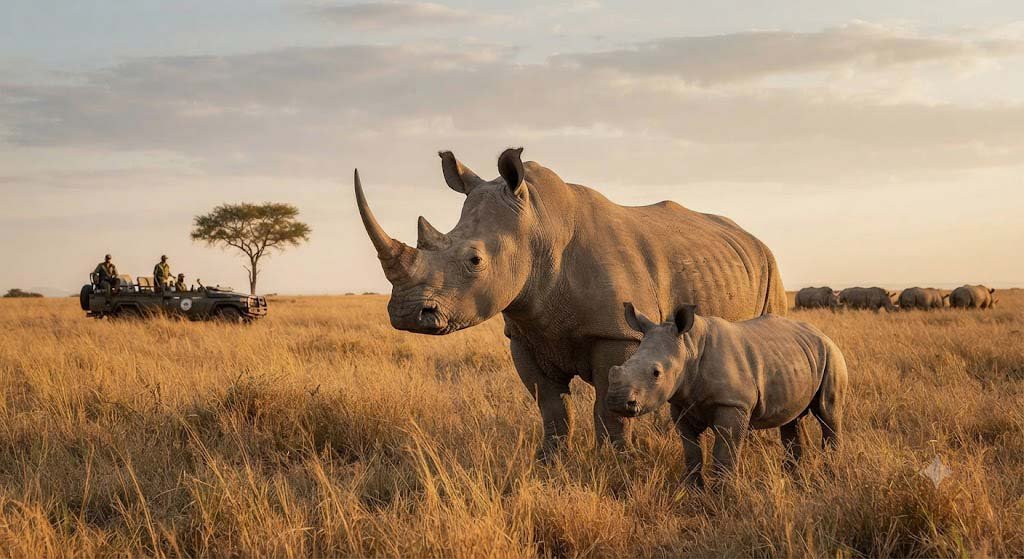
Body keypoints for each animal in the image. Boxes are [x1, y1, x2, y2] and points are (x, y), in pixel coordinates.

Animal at [354, 148, 787, 457]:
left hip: (771, 265)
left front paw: (615, 464)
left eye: (475, 260)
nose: (407, 314)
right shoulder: (525, 332)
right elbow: (551, 407)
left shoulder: (619, 332)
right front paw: (550, 463)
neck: (538, 227)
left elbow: (608, 411)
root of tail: (751, 237)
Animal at [608, 303, 847, 486]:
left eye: (656, 373)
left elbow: (725, 451)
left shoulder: (733, 404)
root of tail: (822, 334)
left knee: (828, 413)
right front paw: (693, 490)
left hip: (832, 353)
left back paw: (831, 475)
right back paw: (792, 478)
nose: (617, 401)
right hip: (796, 356)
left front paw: (724, 493)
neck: (689, 347)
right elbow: (692, 451)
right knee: (791, 420)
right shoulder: (682, 404)